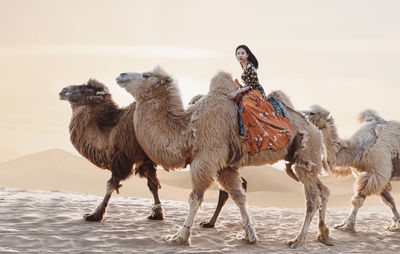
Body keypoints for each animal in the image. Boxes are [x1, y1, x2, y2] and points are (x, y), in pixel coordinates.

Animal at [58, 79, 164, 222]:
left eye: (85, 88)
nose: (63, 90)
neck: (112, 129)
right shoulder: (145, 159)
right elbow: (152, 184)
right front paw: (157, 214)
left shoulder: (122, 157)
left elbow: (112, 184)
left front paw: (95, 215)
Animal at [115, 67, 332, 248]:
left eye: (146, 75)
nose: (121, 75)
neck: (188, 129)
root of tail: (317, 130)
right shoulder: (224, 166)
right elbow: (238, 196)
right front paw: (249, 236)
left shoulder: (206, 158)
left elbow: (195, 198)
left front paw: (179, 237)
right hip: (299, 162)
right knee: (323, 190)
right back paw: (323, 234)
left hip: (307, 155)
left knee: (312, 200)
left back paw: (299, 241)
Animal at [304, 104, 400, 232]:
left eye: (312, 113)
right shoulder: (376, 176)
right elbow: (390, 201)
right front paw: (396, 224)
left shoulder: (377, 173)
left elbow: (357, 201)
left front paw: (346, 225)